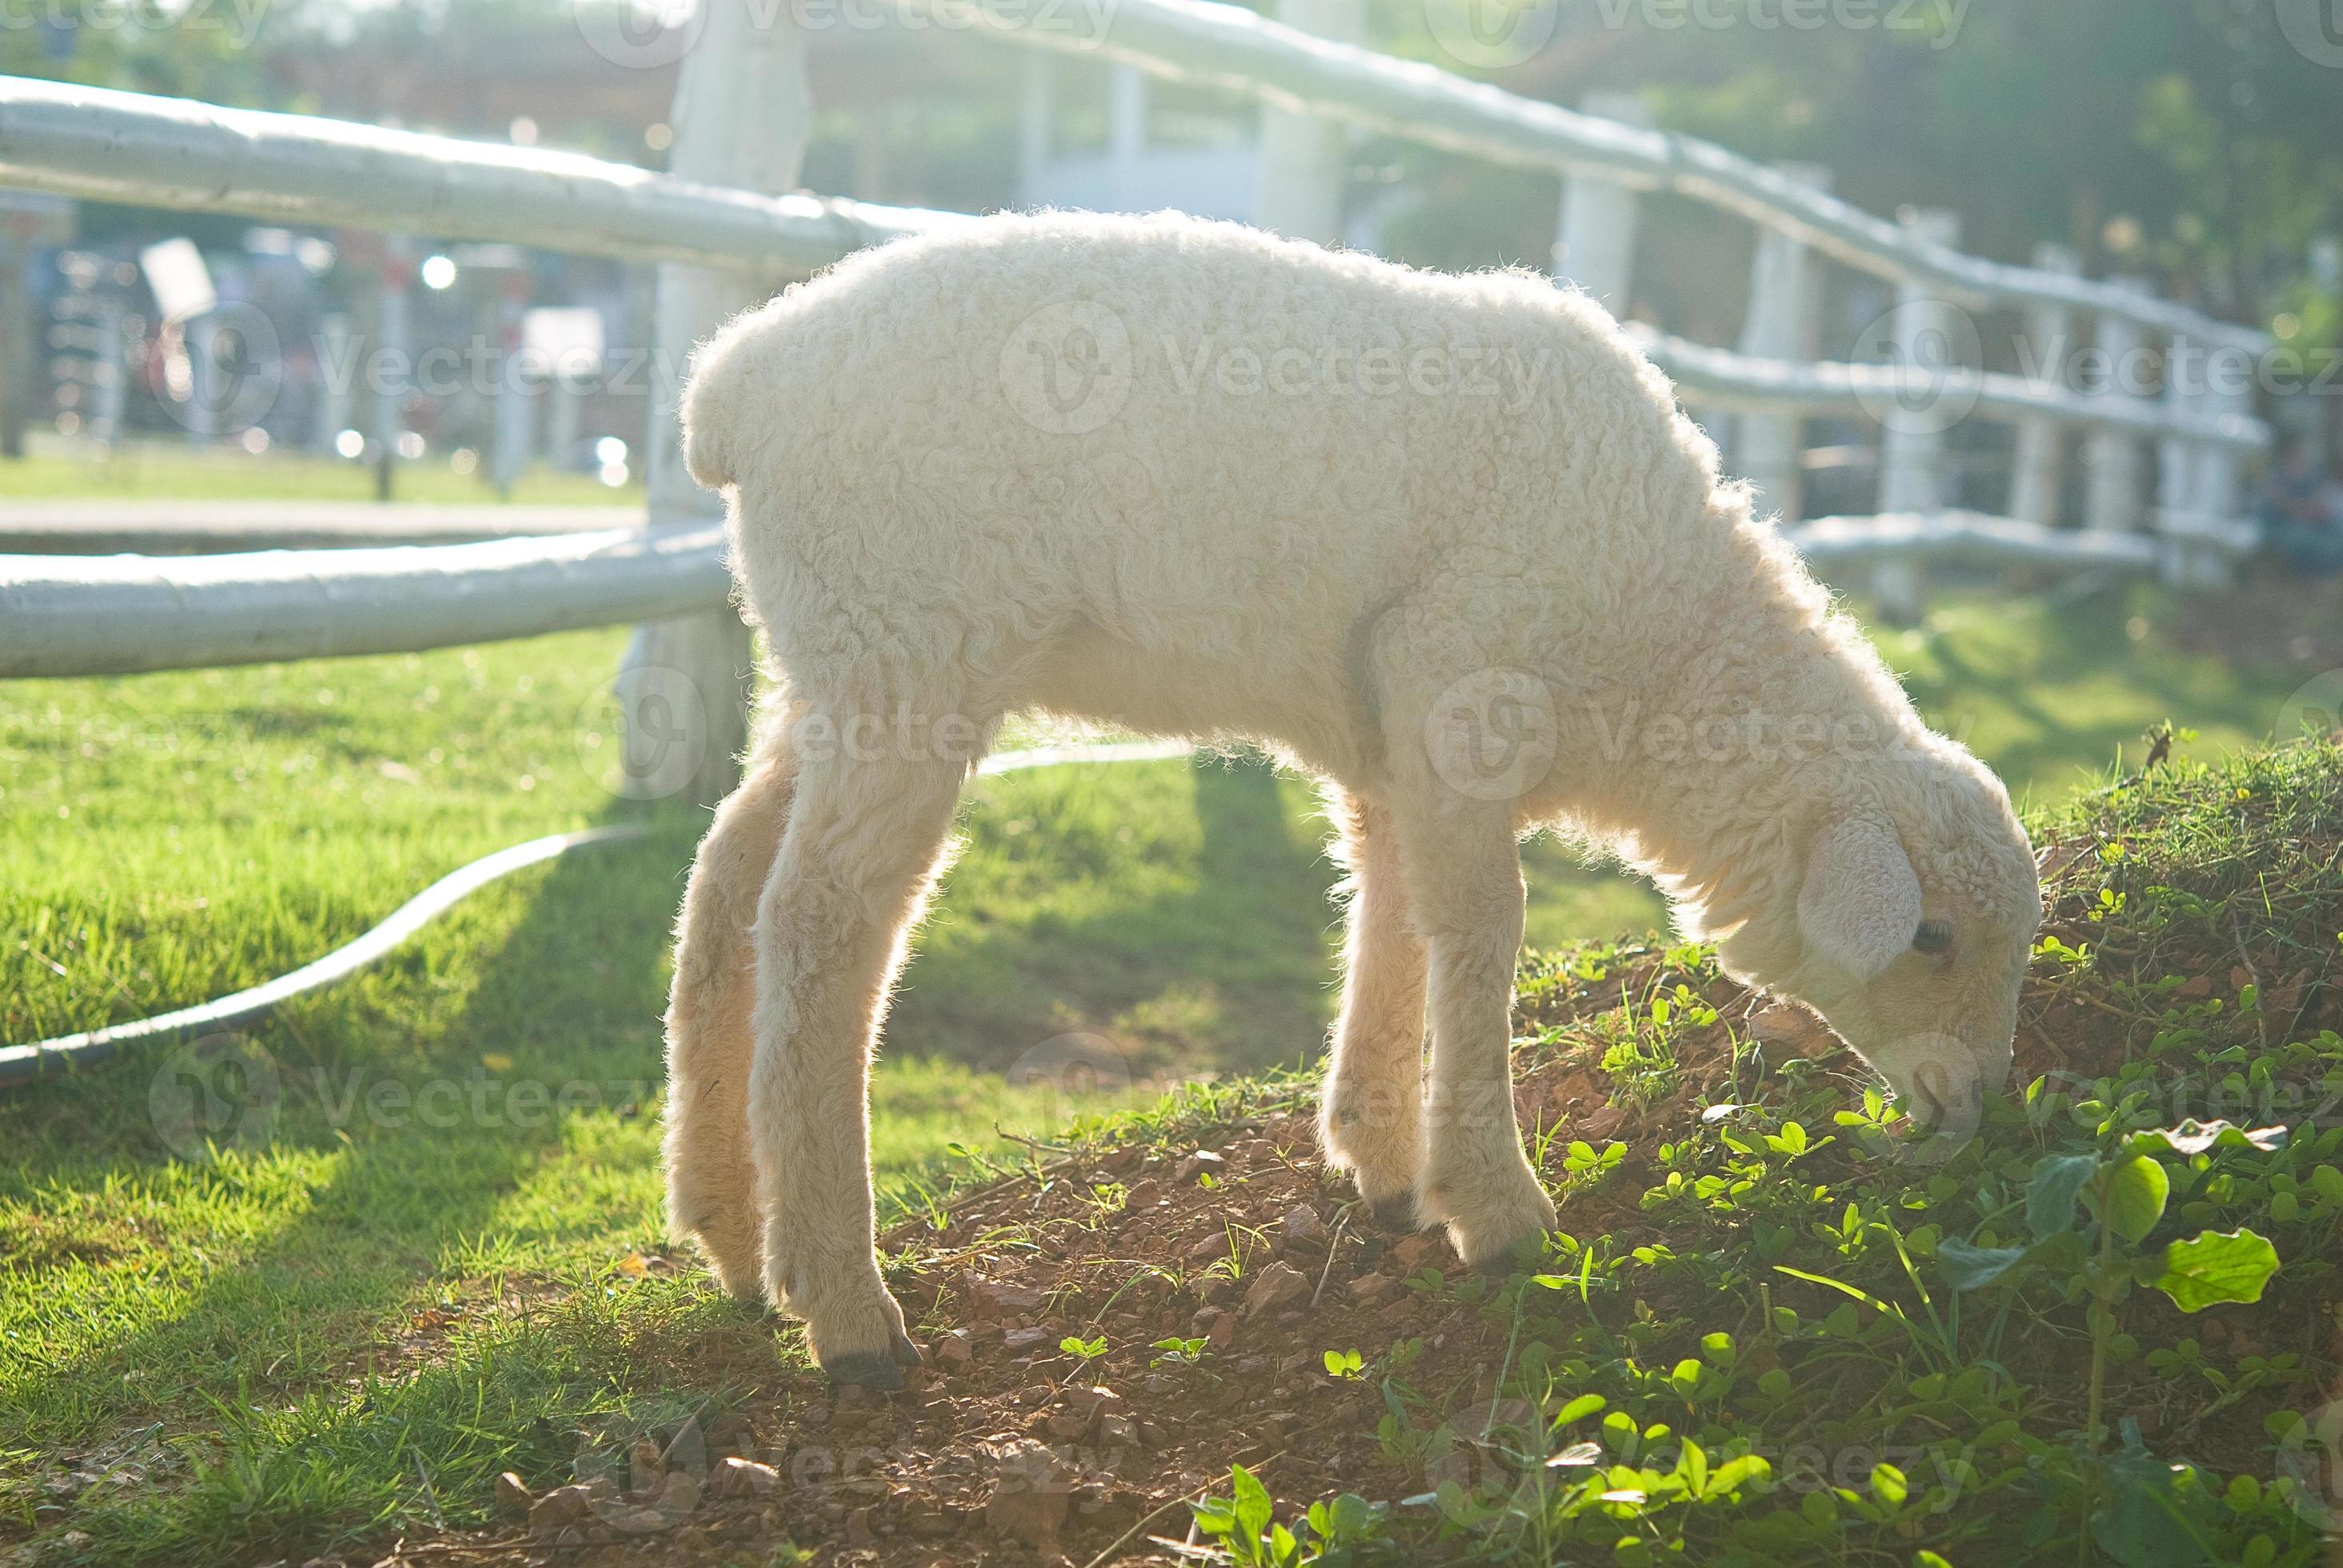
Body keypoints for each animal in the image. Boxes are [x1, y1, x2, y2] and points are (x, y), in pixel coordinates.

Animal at [664, 208, 2043, 1388]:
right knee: (822, 924)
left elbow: (1395, 912)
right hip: (907, 642)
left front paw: (1381, 1158)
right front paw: (1498, 1210)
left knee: (728, 874)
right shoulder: (1462, 673)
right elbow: (1482, 933)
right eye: (1932, 936)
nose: (1970, 1110)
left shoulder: (1396, 737)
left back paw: (731, 1234)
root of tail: (734, 381)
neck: (1665, 641)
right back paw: (845, 1306)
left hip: (831, 663)